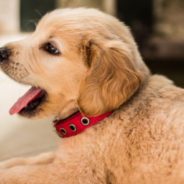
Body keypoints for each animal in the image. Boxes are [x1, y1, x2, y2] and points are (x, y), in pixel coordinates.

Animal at [0, 7, 184, 184]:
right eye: (35, 32)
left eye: (51, 48)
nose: (1, 52)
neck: (92, 118)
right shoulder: (63, 158)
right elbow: (28, 160)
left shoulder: (72, 174)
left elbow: (17, 173)